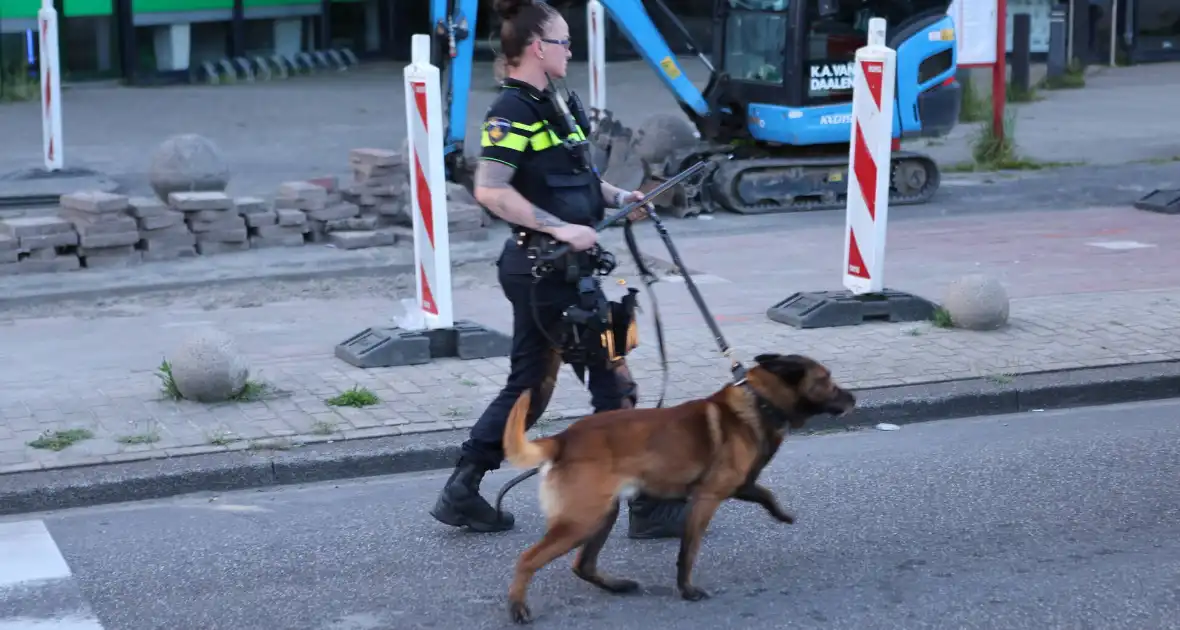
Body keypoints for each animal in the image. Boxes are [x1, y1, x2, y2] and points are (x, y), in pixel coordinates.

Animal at [500, 353, 859, 622]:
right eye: (827, 380)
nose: (854, 398)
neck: (759, 401)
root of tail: (562, 439)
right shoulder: (706, 499)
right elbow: (688, 552)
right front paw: (686, 590)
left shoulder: (738, 484)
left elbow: (766, 494)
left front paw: (782, 514)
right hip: (582, 521)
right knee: (527, 560)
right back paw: (517, 607)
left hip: (603, 514)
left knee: (583, 565)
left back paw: (616, 585)